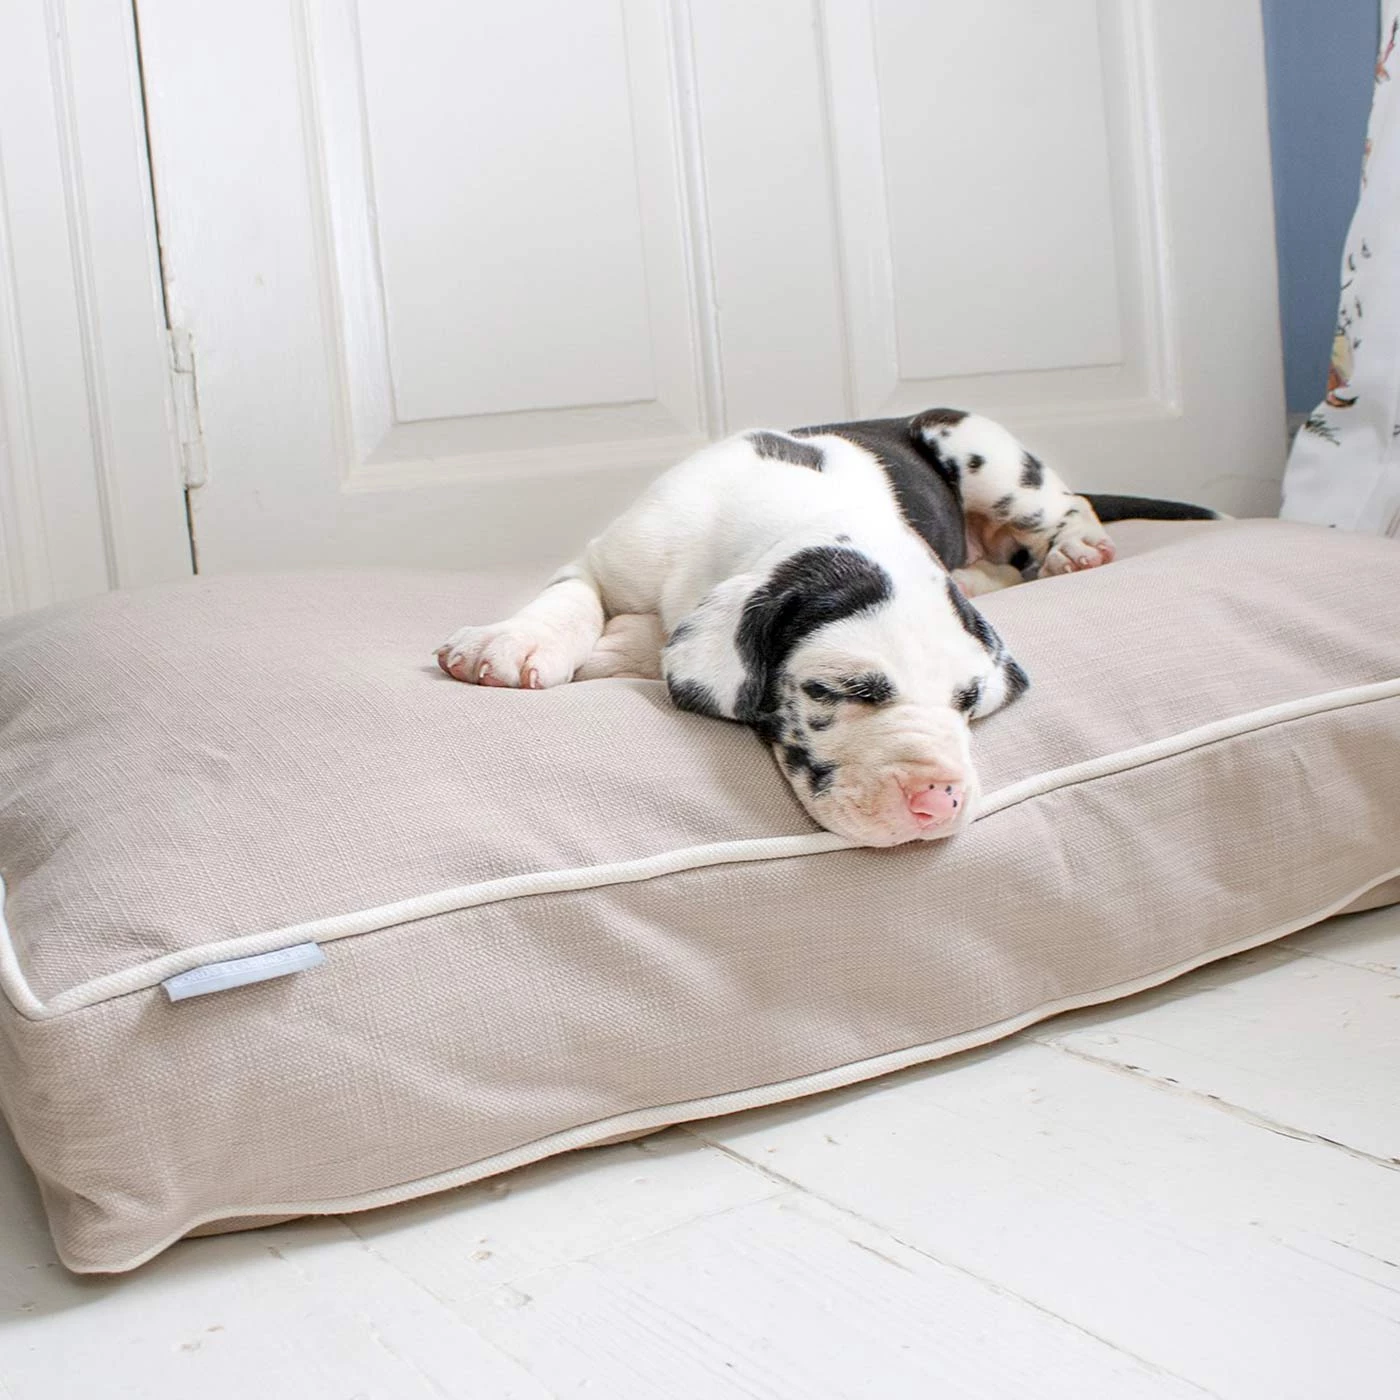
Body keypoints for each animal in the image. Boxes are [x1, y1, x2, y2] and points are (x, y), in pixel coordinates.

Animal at [437, 409, 1218, 847]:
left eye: (968, 703)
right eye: (843, 691)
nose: (941, 798)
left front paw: (620, 643)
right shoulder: (607, 559)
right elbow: (570, 597)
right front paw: (512, 641)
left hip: (985, 452)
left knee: (1067, 505)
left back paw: (1074, 548)